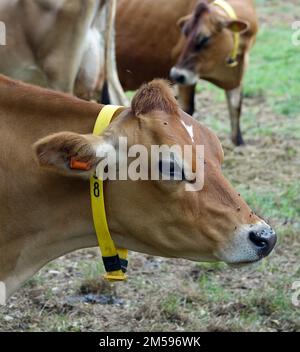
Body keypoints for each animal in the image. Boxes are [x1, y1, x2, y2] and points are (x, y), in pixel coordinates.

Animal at [116, 0, 258, 145]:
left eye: (204, 38)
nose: (175, 74)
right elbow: (186, 109)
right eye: (184, 33)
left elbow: (236, 105)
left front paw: (239, 142)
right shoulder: (186, 79)